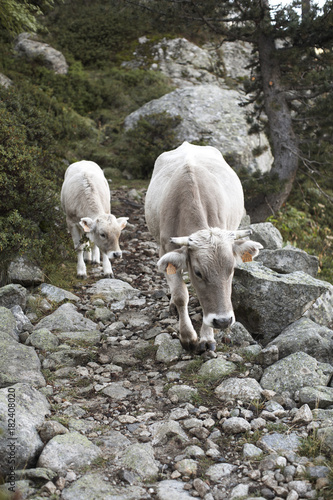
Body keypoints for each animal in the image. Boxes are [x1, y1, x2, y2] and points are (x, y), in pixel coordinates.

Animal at [145, 141, 262, 352]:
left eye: (232, 269)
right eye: (198, 272)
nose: (223, 321)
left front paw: (207, 338)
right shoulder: (165, 250)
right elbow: (181, 295)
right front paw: (187, 336)